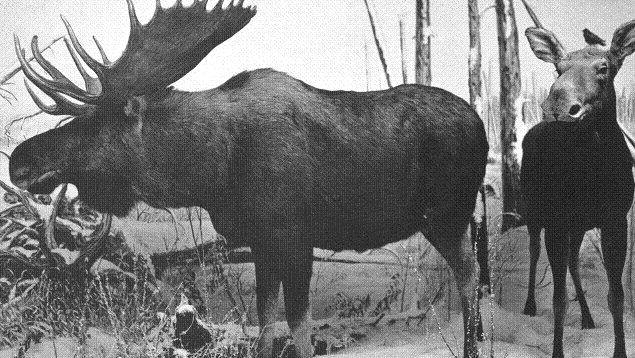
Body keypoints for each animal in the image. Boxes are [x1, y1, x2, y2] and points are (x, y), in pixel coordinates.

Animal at [8, 1, 486, 356]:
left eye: (92, 124)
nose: (17, 161)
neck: (212, 177)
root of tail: (482, 127)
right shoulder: (259, 240)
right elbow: (266, 324)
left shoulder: (294, 234)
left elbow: (300, 332)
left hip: (447, 213)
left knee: (471, 277)